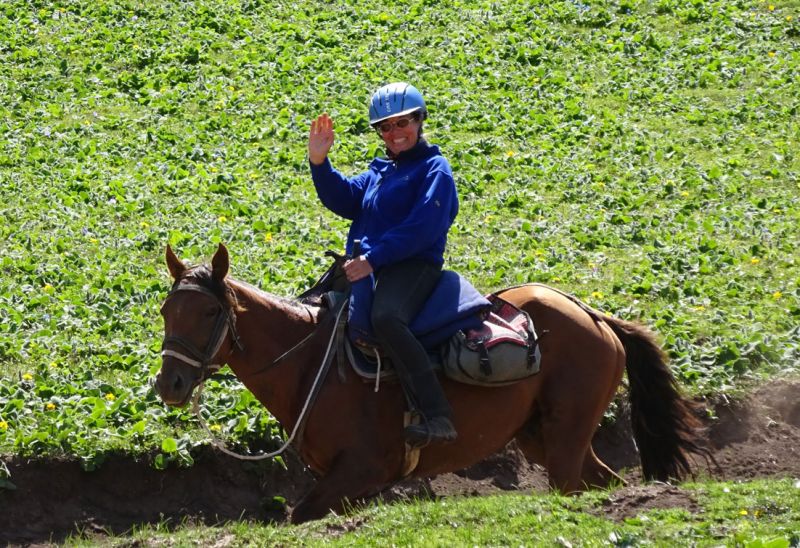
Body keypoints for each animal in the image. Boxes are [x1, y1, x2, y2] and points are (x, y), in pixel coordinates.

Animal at [158, 243, 712, 524]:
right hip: (544, 438)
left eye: (208, 312)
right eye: (166, 311)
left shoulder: (357, 472)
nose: (170, 383)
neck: (313, 362)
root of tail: (595, 316)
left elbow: (299, 514)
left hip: (565, 439)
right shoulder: (349, 485)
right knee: (604, 482)